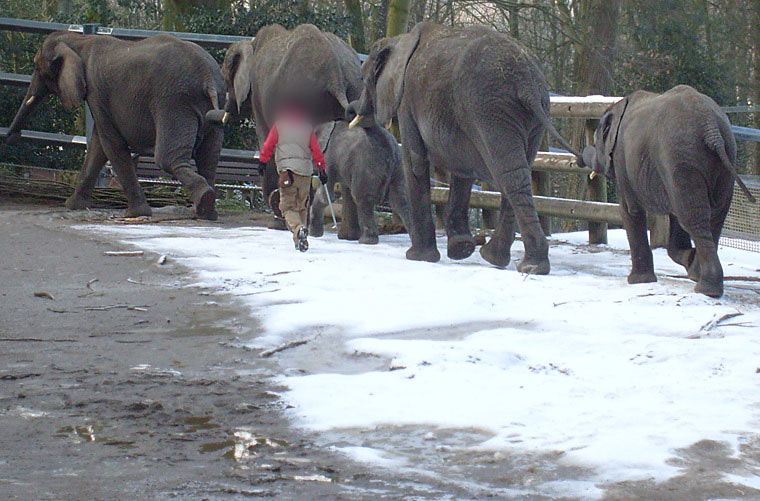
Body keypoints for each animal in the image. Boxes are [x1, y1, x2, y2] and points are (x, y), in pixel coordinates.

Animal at [218, 23, 364, 223]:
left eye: (226, 78)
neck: (252, 43)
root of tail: (334, 73)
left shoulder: (258, 96)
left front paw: (276, 210)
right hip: (355, 88)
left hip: (299, 95)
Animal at [348, 22, 580, 274]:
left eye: (364, 78)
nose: (353, 110)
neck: (400, 39)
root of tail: (526, 80)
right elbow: (462, 169)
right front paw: (461, 249)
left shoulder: (408, 100)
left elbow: (416, 162)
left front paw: (418, 257)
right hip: (529, 114)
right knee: (517, 174)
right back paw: (504, 259)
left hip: (488, 109)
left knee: (507, 174)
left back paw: (524, 264)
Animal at [580, 85, 756, 296]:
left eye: (597, 139)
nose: (580, 159)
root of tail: (711, 128)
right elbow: (675, 220)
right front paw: (688, 259)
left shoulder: (623, 161)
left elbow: (631, 211)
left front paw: (638, 281)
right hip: (724, 158)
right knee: (713, 218)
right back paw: (697, 273)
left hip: (681, 158)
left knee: (694, 219)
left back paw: (706, 288)